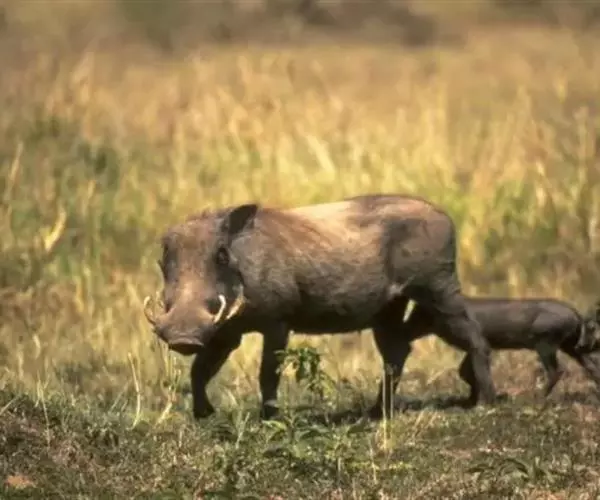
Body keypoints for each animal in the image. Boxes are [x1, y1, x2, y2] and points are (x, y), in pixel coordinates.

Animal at [143, 194, 497, 420]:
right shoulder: (225, 331)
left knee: (476, 338)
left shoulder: (278, 323)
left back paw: (486, 404)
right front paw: (203, 414)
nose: (183, 338)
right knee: (396, 354)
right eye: (164, 256)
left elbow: (267, 373)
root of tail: (444, 215)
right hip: (388, 309)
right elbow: (201, 369)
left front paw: (269, 419)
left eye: (220, 254)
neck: (244, 262)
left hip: (439, 290)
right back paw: (376, 414)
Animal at [401, 297, 600, 403]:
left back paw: (535, 398)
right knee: (591, 366)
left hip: (545, 345)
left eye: (416, 315)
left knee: (557, 370)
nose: (402, 329)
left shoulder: (480, 345)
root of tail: (577, 314)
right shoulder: (472, 350)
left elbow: (480, 374)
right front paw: (471, 400)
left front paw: (486, 403)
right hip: (571, 347)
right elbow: (465, 372)